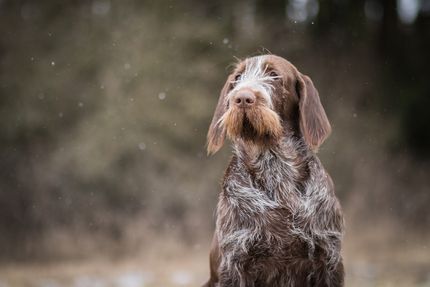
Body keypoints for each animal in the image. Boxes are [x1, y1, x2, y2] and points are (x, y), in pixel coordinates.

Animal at [203, 54, 344, 287]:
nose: (242, 98)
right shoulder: (234, 262)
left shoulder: (329, 258)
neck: (274, 165)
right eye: (238, 77)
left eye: (274, 75)